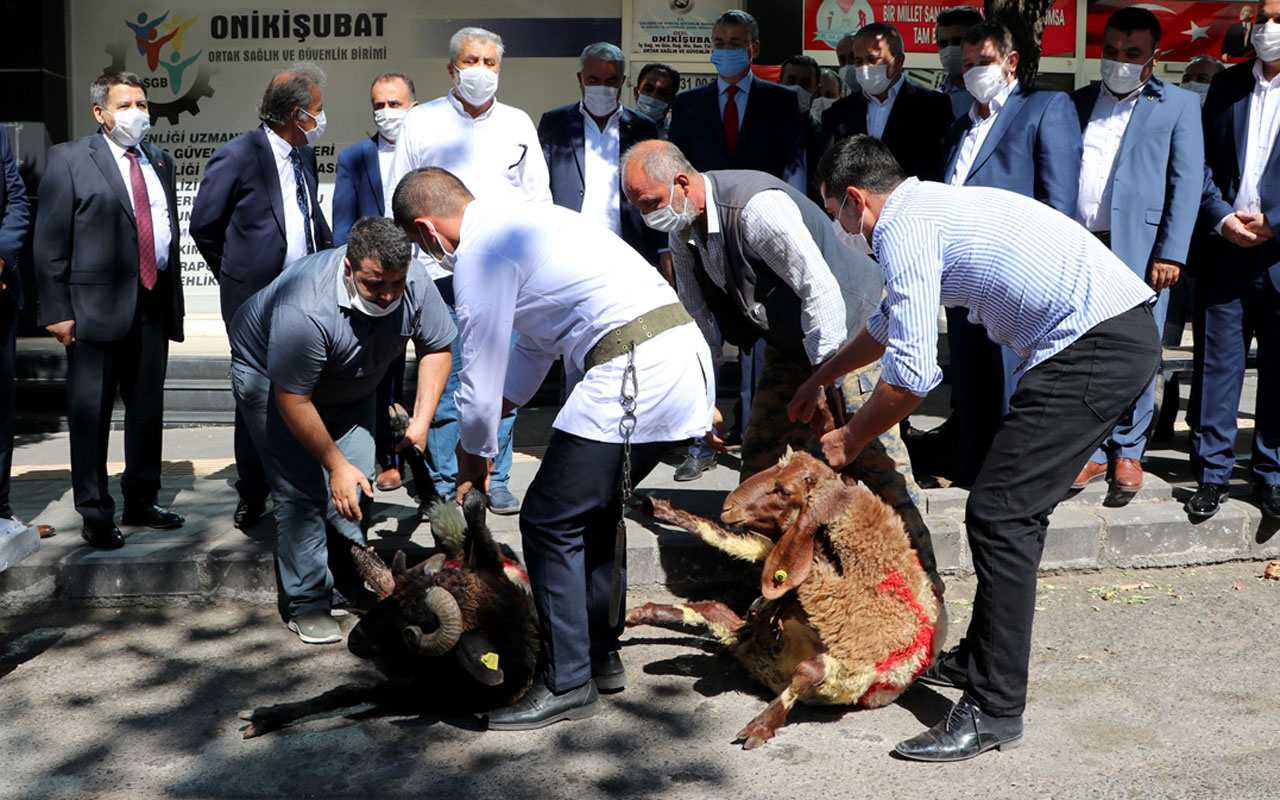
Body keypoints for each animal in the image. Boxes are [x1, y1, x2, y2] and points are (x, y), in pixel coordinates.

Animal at [627, 450, 942, 747]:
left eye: (785, 491)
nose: (727, 508)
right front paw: (658, 510)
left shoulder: (860, 669)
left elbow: (808, 670)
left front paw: (761, 726)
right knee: (712, 601)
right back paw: (640, 612)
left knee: (714, 608)